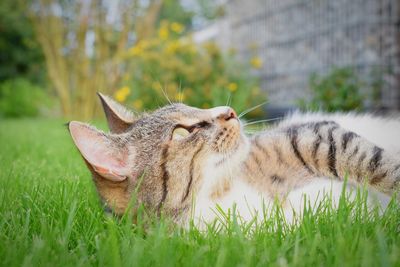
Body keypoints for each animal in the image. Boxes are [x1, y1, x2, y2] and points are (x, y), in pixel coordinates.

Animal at [68, 93, 400, 228]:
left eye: (194, 106)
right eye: (180, 131)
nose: (228, 110)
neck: (218, 198)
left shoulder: (315, 134)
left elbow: (375, 163)